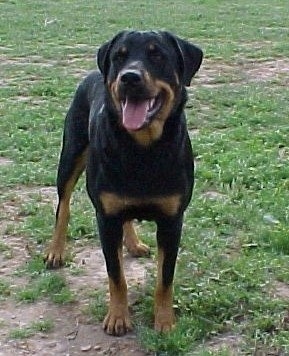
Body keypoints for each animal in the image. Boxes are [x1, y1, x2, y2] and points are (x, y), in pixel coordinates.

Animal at [45, 29, 202, 334]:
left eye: (157, 55)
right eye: (119, 56)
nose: (129, 77)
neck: (142, 148)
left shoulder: (172, 220)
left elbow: (165, 277)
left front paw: (164, 321)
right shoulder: (106, 218)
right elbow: (115, 274)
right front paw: (117, 317)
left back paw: (133, 243)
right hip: (71, 153)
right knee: (63, 206)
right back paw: (55, 251)